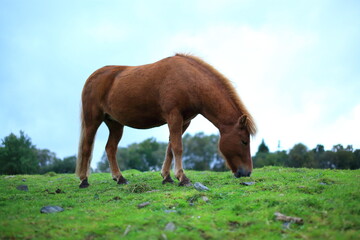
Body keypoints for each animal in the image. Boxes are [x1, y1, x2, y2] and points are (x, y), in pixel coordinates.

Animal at [75, 53, 256, 188]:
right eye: (244, 141)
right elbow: (178, 147)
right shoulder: (174, 116)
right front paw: (183, 178)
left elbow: (170, 147)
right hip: (93, 121)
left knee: (110, 148)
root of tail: (92, 78)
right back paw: (84, 180)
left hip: (115, 124)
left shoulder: (184, 121)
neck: (189, 81)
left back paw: (120, 178)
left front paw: (167, 177)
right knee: (86, 148)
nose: (247, 172)